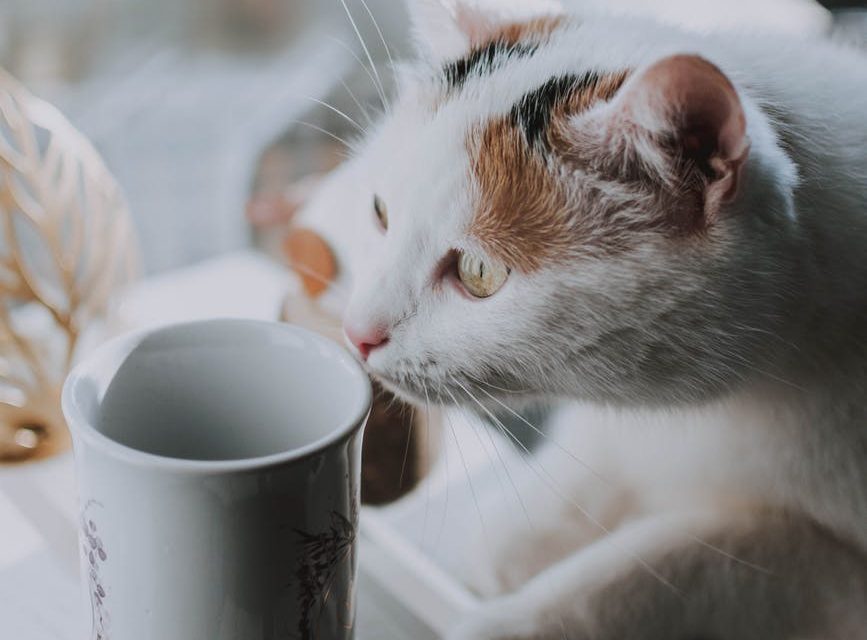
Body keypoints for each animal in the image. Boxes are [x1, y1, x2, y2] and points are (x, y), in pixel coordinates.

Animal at [294, 0, 867, 636]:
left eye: (478, 273)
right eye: (380, 212)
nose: (357, 334)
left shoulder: (829, 561)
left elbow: (654, 573)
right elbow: (590, 467)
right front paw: (512, 541)